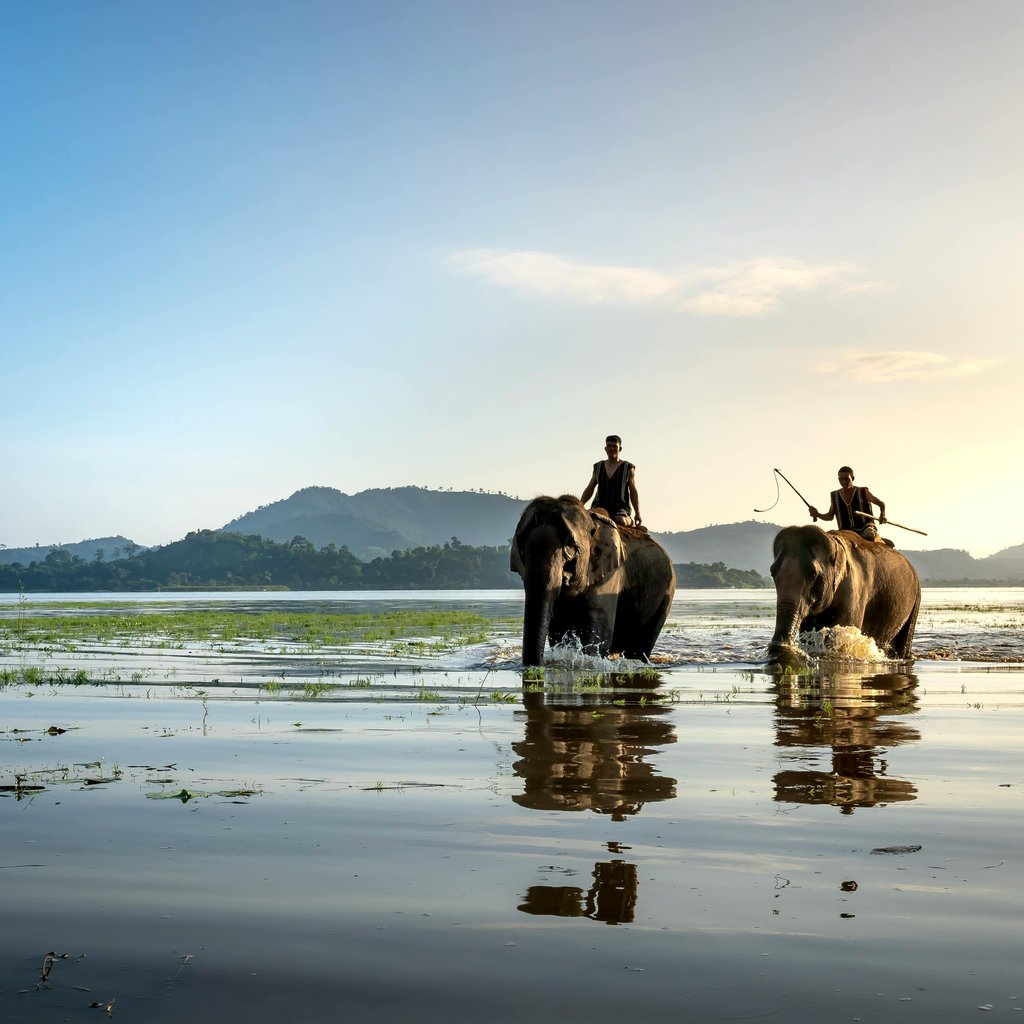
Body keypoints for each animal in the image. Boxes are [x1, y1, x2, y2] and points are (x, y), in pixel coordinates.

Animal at [510, 495, 676, 667]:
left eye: (571, 546)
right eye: (521, 551)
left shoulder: (610, 574)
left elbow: (597, 634)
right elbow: (558, 631)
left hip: (667, 591)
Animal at [768, 525, 920, 662]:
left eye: (812, 574)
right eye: (772, 572)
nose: (778, 646)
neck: (833, 542)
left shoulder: (854, 591)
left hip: (916, 600)